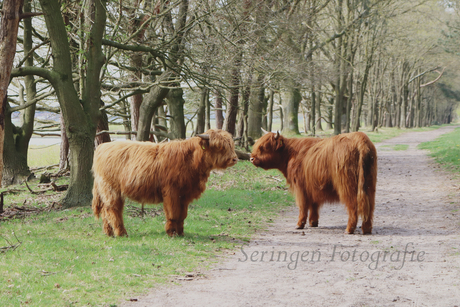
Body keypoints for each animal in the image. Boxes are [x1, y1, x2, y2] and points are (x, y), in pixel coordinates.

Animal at [92, 130, 239, 238]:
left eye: (231, 145)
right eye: (219, 146)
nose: (234, 159)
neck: (192, 161)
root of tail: (102, 146)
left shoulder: (185, 195)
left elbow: (182, 214)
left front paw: (181, 232)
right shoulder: (171, 191)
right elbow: (173, 213)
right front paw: (171, 232)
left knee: (105, 210)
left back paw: (108, 232)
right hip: (111, 189)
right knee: (113, 209)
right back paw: (121, 233)